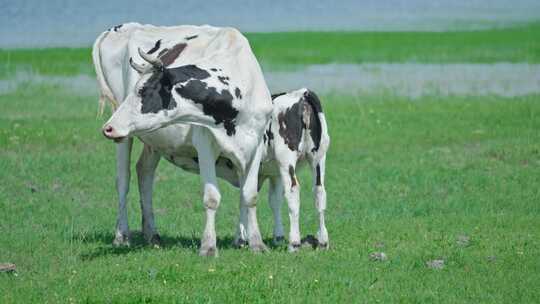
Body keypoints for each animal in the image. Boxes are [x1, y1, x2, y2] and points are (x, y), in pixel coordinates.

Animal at [94, 24, 272, 256]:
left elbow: (249, 195)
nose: (108, 127)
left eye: (143, 90)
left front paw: (256, 243)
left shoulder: (255, 142)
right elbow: (212, 197)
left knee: (144, 172)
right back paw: (122, 236)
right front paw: (208, 246)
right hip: (122, 133)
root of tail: (120, 27)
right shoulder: (205, 144)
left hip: (154, 139)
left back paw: (152, 235)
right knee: (123, 180)